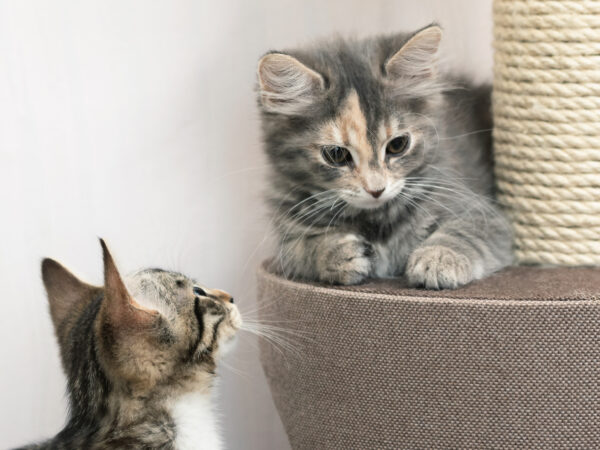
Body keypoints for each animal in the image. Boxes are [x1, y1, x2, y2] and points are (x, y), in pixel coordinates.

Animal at [255, 23, 512, 288]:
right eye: (336, 154)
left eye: (398, 145)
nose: (376, 190)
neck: (376, 218)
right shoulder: (288, 235)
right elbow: (304, 248)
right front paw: (336, 253)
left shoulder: (481, 211)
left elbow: (463, 232)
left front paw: (438, 258)